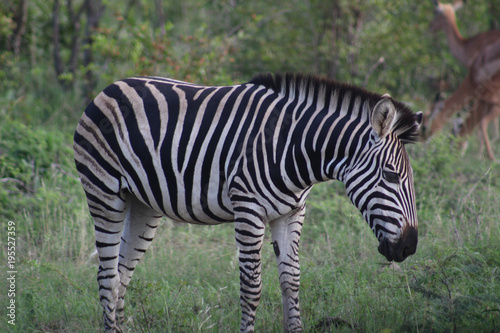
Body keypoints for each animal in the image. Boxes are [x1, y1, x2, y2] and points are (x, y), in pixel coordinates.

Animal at [74, 73, 422, 332]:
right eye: (391, 176)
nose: (409, 246)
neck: (293, 146)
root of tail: (110, 87)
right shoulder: (249, 210)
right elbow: (251, 288)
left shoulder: (292, 212)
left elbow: (291, 281)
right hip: (104, 193)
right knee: (107, 275)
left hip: (142, 205)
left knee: (121, 275)